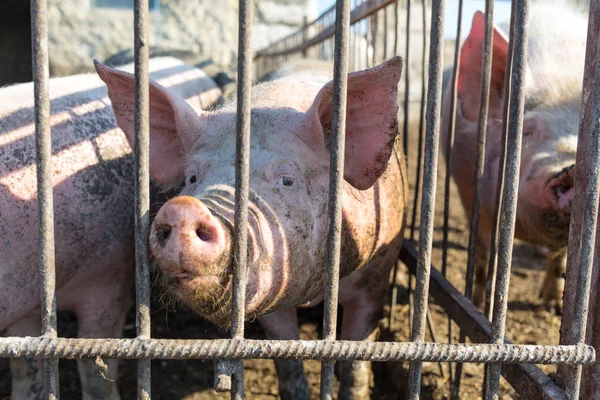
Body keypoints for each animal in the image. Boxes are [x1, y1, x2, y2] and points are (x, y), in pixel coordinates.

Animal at [96, 55, 408, 400]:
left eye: (286, 180)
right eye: (192, 177)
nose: (183, 209)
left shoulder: (376, 274)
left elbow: (357, 354)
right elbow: (286, 357)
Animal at [440, 2, 584, 316]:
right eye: (526, 131)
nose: (571, 168)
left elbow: (561, 260)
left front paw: (553, 308)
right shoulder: (467, 184)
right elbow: (483, 253)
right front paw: (478, 307)